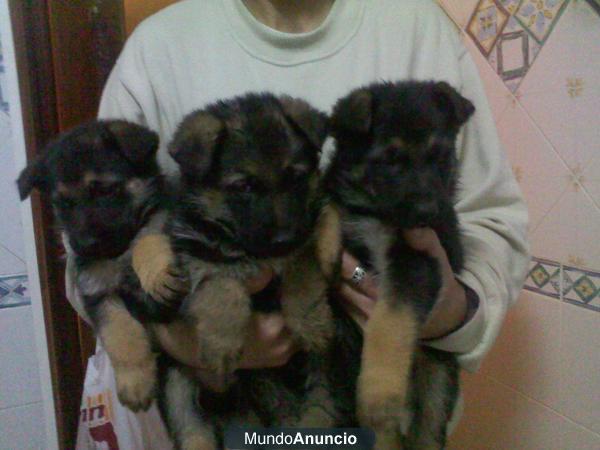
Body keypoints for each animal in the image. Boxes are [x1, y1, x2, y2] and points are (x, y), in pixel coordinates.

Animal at [17, 121, 188, 414]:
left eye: (105, 190)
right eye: (63, 204)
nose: (84, 245)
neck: (117, 255)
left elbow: (148, 237)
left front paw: (156, 274)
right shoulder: (98, 295)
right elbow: (119, 334)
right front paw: (135, 382)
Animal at [154, 92, 342, 450]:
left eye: (296, 178)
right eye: (244, 187)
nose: (284, 239)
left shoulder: (304, 239)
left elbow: (302, 272)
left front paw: (310, 321)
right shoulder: (197, 255)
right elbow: (222, 289)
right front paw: (222, 344)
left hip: (316, 378)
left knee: (319, 408)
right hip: (178, 382)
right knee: (191, 426)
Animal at [324, 81, 474, 450]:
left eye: (439, 156)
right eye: (391, 160)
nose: (428, 213)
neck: (374, 210)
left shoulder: (418, 264)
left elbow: (389, 325)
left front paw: (378, 393)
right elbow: (328, 204)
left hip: (438, 380)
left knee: (427, 430)